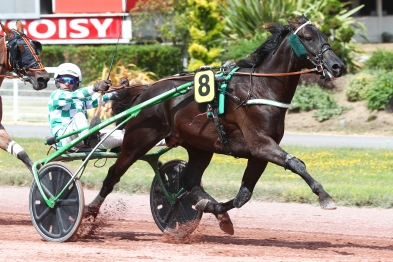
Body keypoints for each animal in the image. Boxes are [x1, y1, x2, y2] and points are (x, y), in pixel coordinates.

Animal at [86, 15, 344, 234]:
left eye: (325, 36)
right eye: (308, 37)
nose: (337, 66)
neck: (260, 89)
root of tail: (147, 90)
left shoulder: (258, 154)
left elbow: (243, 197)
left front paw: (213, 210)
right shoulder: (261, 144)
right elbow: (297, 164)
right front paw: (325, 197)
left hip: (199, 146)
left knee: (189, 181)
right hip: (139, 139)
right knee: (113, 174)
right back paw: (89, 212)